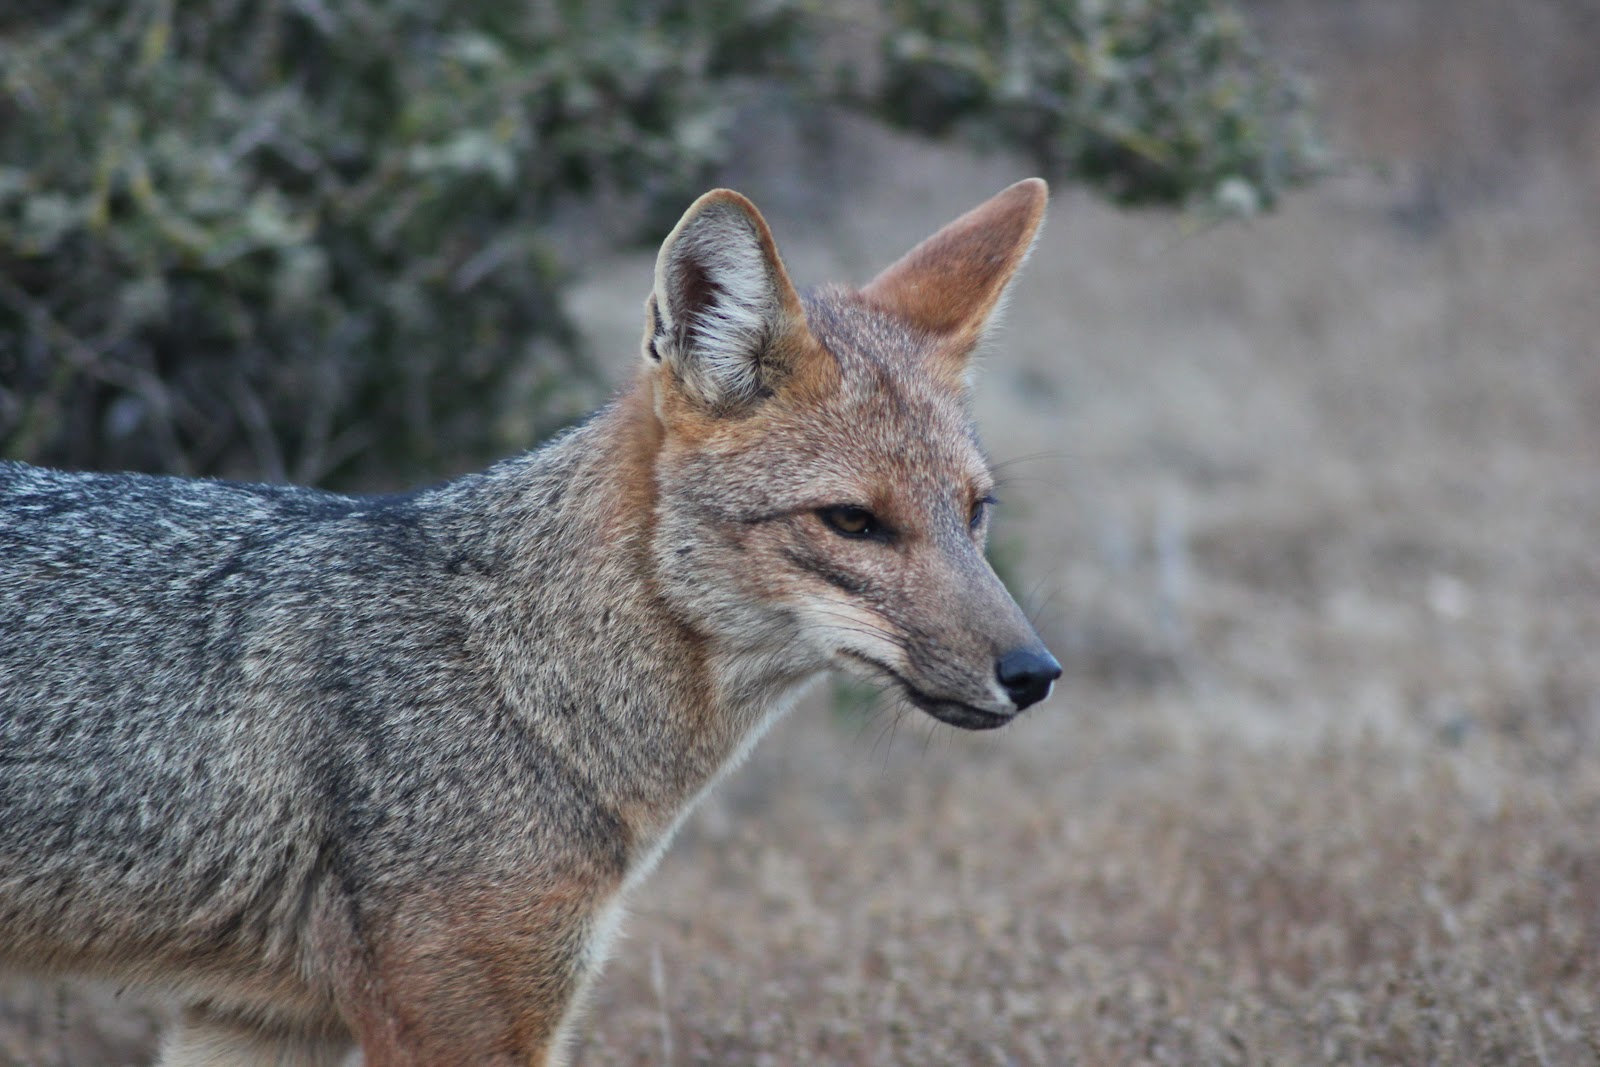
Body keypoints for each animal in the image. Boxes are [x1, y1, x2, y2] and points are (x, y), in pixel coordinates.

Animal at [0, 178, 1060, 1066]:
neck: (519, 677)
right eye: (852, 521)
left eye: (976, 512)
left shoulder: (256, 1021)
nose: (1035, 672)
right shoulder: (464, 1023)